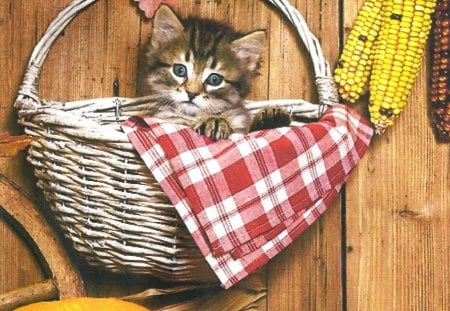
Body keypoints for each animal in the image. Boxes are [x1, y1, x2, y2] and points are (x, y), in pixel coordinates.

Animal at [138, 5, 292, 140]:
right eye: (180, 70)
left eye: (214, 79)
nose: (191, 93)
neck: (194, 117)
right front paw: (214, 122)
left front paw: (272, 118)